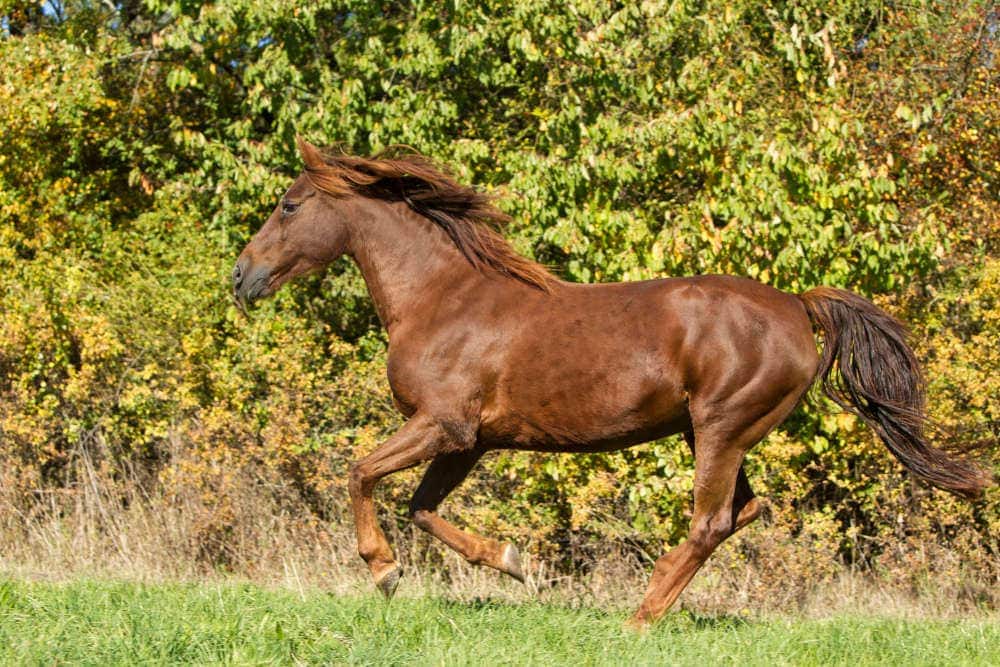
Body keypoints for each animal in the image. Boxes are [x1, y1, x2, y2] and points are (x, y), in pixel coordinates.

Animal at [232, 138, 991, 627]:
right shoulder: (469, 440)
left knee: (711, 520)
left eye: (289, 205)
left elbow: (359, 472)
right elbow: (422, 507)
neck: (442, 297)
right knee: (743, 512)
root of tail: (798, 305)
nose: (241, 277)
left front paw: (384, 570)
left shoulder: (442, 423)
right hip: (712, 434)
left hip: (722, 426)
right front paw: (514, 562)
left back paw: (640, 618)